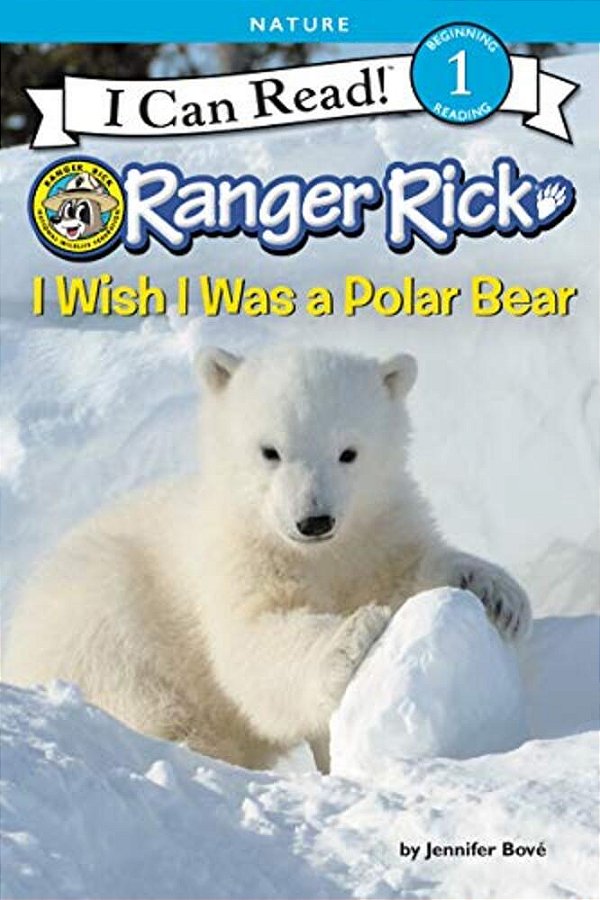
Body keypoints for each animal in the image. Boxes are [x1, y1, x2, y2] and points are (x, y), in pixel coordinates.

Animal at [4, 346, 531, 772]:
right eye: (270, 451)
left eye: (349, 452)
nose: (314, 520)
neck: (315, 555)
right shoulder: (235, 556)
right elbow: (255, 642)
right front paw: (353, 634)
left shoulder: (374, 531)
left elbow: (407, 568)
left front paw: (496, 593)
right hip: (95, 611)